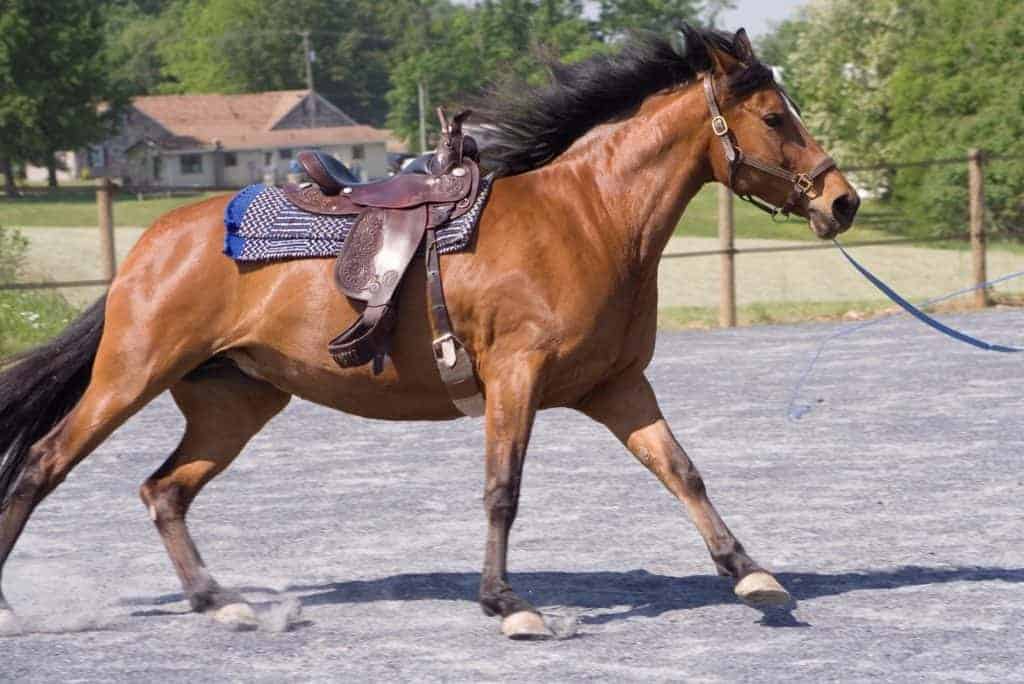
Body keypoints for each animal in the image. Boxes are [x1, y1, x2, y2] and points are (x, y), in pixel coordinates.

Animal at [0, 26, 858, 639]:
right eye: (776, 117)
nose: (843, 201)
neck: (585, 218)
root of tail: (153, 244)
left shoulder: (618, 386)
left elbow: (682, 472)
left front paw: (750, 573)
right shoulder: (515, 378)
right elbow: (502, 491)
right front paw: (507, 603)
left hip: (233, 403)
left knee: (164, 491)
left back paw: (222, 602)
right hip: (129, 377)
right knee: (41, 464)